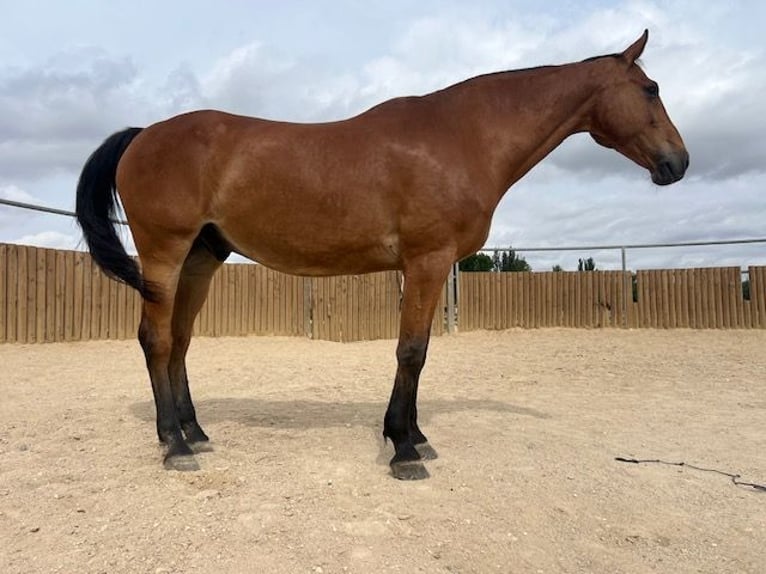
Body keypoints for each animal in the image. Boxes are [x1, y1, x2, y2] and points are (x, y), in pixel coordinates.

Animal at [75, 30, 688, 479]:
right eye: (652, 88)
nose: (678, 163)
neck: (461, 137)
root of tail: (143, 135)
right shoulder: (427, 260)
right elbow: (411, 351)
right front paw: (404, 450)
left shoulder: (430, 268)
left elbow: (420, 351)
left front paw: (415, 435)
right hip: (165, 252)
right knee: (156, 341)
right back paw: (174, 446)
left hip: (201, 259)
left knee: (179, 341)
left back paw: (196, 433)